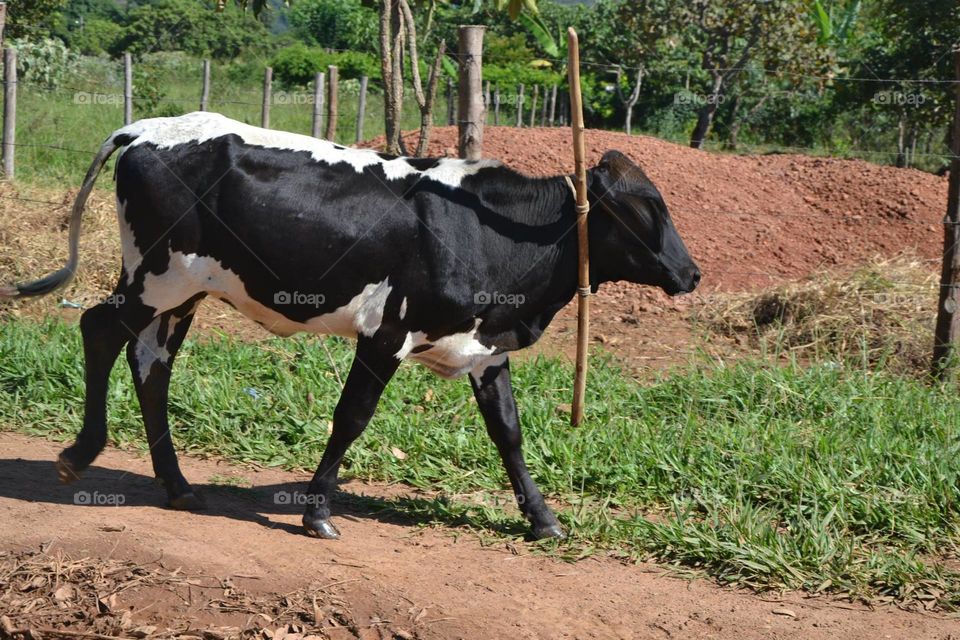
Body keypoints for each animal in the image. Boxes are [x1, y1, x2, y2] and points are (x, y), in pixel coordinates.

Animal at [1, 112, 699, 540]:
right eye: (642, 209)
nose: (691, 273)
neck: (487, 231)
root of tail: (146, 127)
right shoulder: (386, 335)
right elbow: (351, 419)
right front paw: (316, 512)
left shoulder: (484, 347)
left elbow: (508, 432)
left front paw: (543, 519)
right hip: (154, 280)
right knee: (99, 330)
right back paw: (81, 454)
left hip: (182, 294)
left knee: (151, 367)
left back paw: (176, 486)